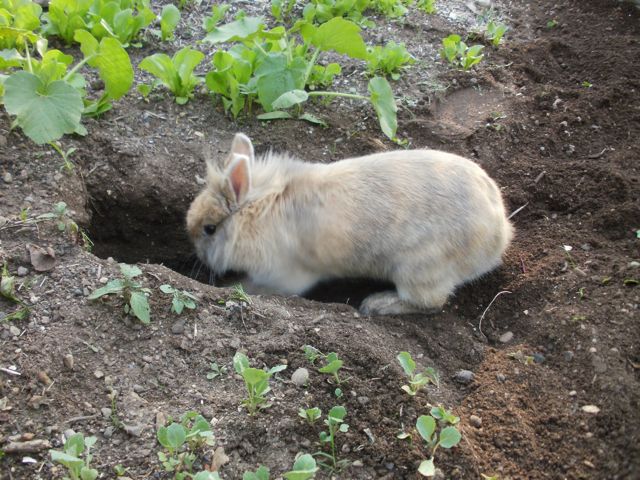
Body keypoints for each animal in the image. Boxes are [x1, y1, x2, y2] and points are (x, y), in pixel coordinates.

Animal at [186, 133, 516, 316]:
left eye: (209, 229)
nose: (198, 254)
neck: (258, 207)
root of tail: (499, 235)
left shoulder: (285, 277)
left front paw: (232, 286)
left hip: (419, 270)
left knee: (430, 303)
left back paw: (376, 304)